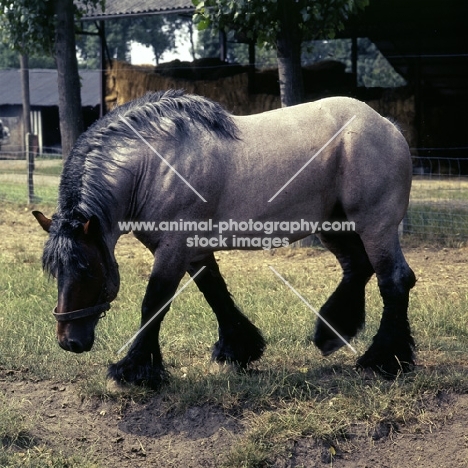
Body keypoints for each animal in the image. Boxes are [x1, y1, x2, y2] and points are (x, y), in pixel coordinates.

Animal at [33, 89, 416, 390]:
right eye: (55, 272)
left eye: (87, 270)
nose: (69, 342)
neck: (156, 166)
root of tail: (387, 126)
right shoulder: (193, 249)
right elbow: (215, 292)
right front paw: (238, 350)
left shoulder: (173, 249)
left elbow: (154, 303)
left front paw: (134, 369)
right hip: (334, 225)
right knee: (358, 268)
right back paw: (332, 333)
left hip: (375, 225)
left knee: (394, 280)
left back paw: (385, 360)